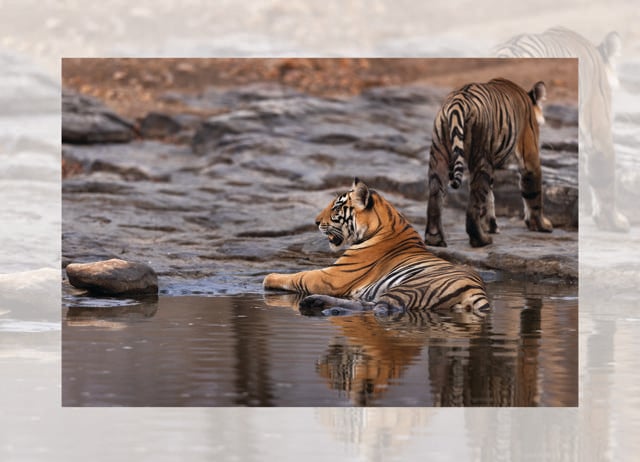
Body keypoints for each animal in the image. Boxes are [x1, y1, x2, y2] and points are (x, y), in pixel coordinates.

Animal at [263, 178, 490, 316]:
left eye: (336, 208)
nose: (316, 222)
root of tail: (478, 290)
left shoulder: (331, 277)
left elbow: (299, 275)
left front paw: (268, 278)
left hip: (411, 286)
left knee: (381, 308)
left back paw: (320, 306)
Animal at [424, 77, 553, 248]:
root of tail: (457, 101)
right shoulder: (530, 160)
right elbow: (534, 195)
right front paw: (541, 225)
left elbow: (489, 199)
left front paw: (490, 226)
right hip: (481, 155)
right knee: (473, 205)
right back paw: (481, 240)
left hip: (439, 155)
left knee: (435, 196)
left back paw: (435, 239)